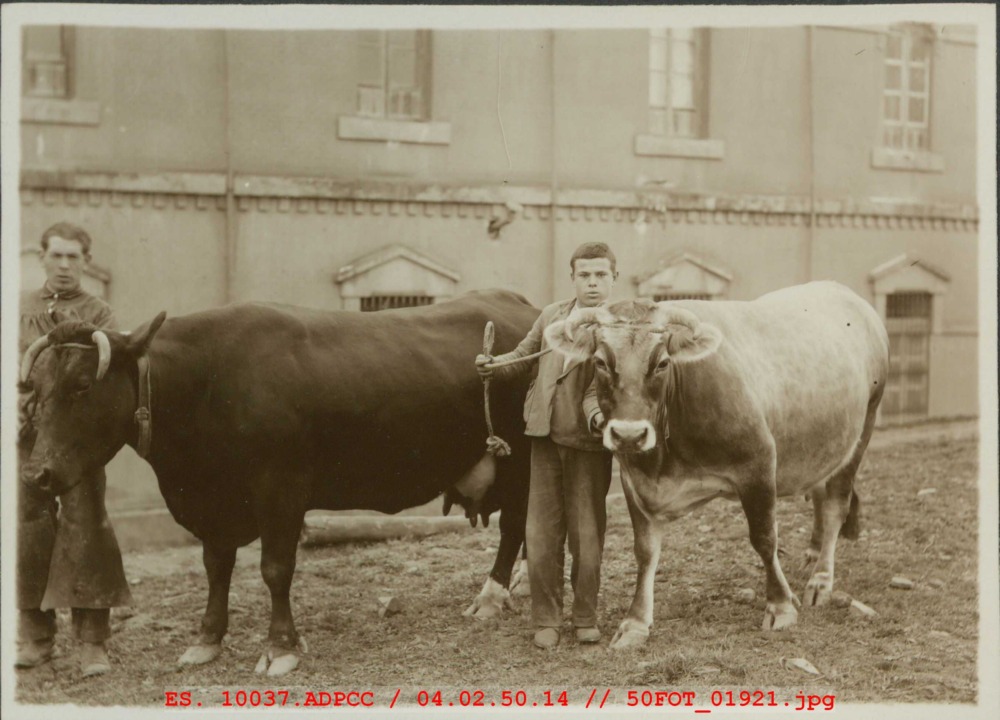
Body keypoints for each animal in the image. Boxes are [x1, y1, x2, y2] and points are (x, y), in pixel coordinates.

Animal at [18, 290, 539, 675]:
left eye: (83, 385)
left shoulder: (281, 489)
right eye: (35, 389)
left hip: (523, 461)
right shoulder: (213, 502)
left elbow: (274, 569)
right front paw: (207, 639)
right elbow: (216, 567)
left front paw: (280, 647)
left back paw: (492, 595)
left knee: (515, 526)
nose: (36, 473)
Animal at [542, 281, 889, 649]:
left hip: (862, 429)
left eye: (662, 362)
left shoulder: (758, 465)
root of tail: (842, 292)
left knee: (836, 505)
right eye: (600, 362)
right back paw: (811, 557)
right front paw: (635, 622)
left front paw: (780, 606)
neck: (665, 459)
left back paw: (820, 580)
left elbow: (764, 539)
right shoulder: (634, 481)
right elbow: (645, 552)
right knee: (822, 499)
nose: (629, 435)